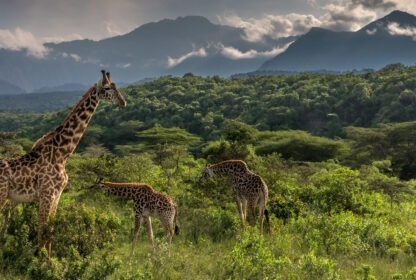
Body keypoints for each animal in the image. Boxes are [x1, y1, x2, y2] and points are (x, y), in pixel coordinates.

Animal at [0, 70, 127, 258]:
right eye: (106, 88)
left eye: (115, 85)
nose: (123, 101)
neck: (61, 154)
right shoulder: (47, 194)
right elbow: (42, 231)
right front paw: (40, 262)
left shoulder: (57, 195)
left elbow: (50, 232)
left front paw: (49, 261)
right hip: (2, 195)